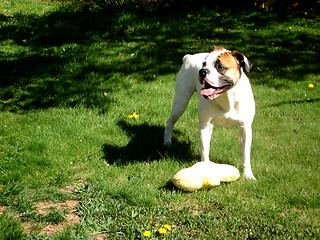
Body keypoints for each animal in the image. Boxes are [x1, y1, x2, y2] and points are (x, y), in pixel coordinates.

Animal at [164, 45, 256, 180]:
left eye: (220, 67)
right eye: (204, 64)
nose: (202, 71)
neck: (226, 98)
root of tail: (189, 57)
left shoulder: (245, 129)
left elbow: (246, 155)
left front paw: (248, 174)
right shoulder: (204, 127)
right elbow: (204, 151)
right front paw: (205, 169)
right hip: (181, 102)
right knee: (170, 122)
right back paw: (167, 142)